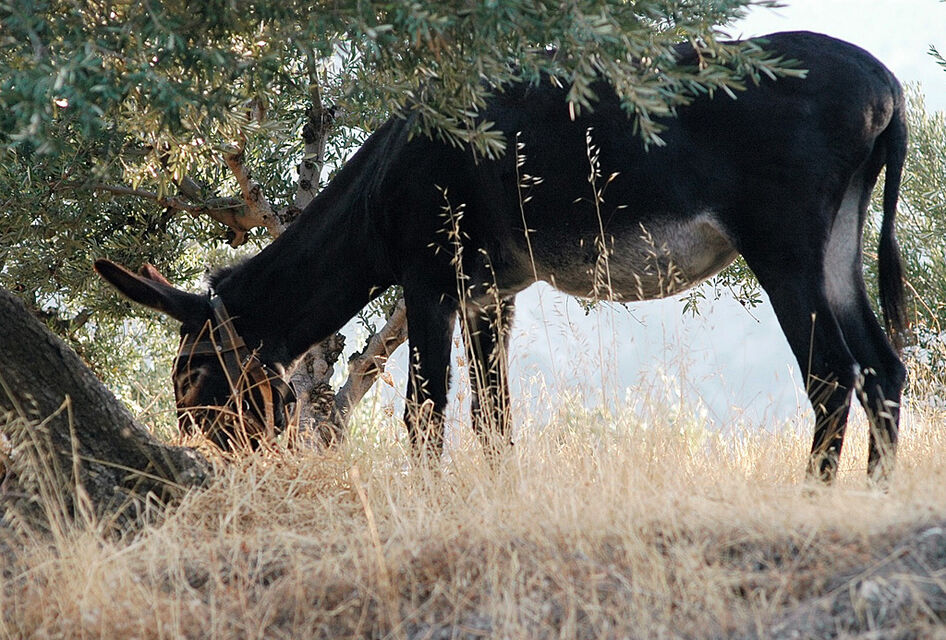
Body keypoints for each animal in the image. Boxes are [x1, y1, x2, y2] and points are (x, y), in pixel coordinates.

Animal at [96, 31, 907, 483]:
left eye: (197, 378)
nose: (229, 468)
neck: (383, 181)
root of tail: (885, 84)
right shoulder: (494, 293)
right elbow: (493, 414)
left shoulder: (430, 278)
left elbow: (425, 411)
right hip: (837, 242)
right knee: (883, 368)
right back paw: (876, 493)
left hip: (785, 246)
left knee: (831, 374)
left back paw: (814, 495)